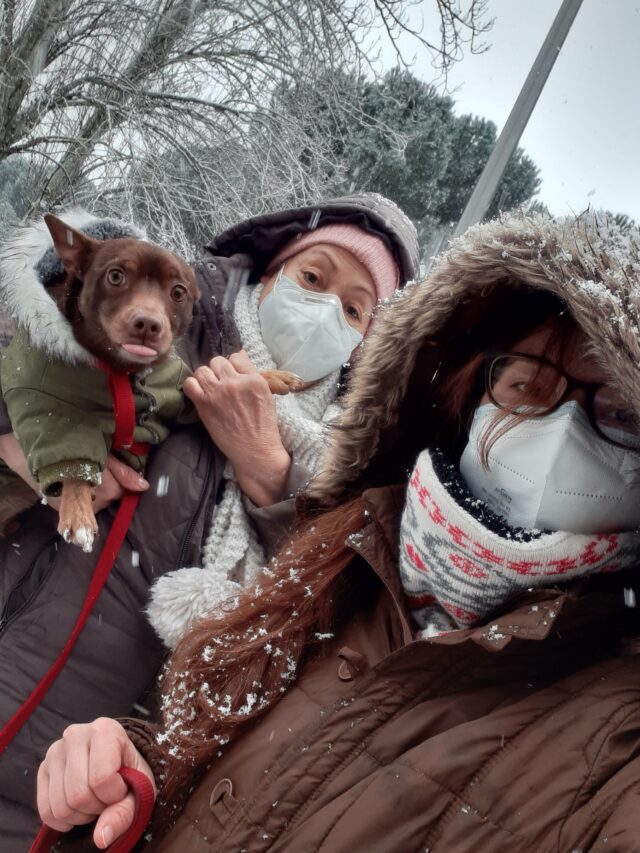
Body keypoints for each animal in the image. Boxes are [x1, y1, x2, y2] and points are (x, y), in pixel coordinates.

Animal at [0, 216, 302, 548]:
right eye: (115, 276)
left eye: (178, 292)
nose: (147, 323)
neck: (122, 370)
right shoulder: (49, 407)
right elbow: (72, 460)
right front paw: (77, 511)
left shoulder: (179, 395)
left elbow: (202, 374)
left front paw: (272, 377)